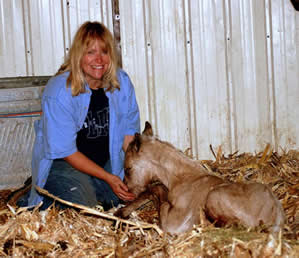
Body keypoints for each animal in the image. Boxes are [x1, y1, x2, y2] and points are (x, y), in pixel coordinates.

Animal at [118, 122, 286, 235]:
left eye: (127, 169)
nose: (127, 191)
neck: (183, 178)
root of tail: (275, 212)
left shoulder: (175, 224)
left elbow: (157, 192)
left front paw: (122, 212)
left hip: (214, 197)